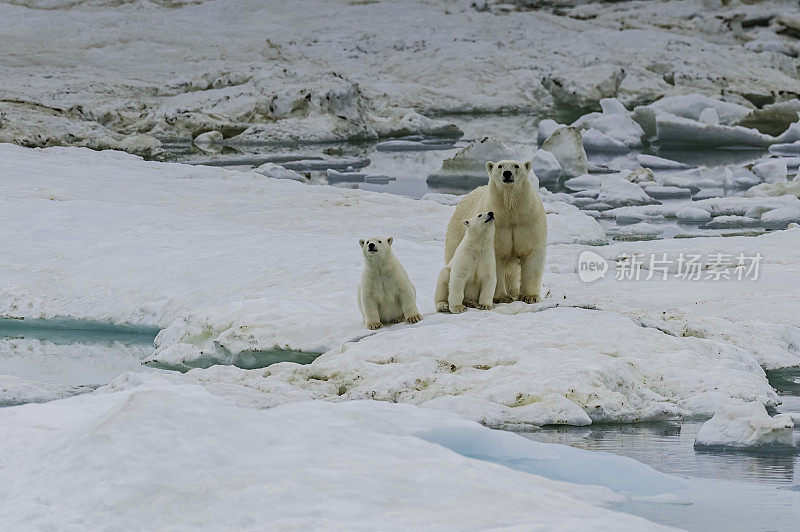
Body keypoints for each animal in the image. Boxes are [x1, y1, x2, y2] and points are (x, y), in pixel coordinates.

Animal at [444, 159, 552, 304]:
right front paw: (501, 297)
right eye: (500, 166)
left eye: (516, 166)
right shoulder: (499, 227)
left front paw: (529, 296)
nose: (507, 173)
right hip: (456, 231)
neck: (510, 212)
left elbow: (531, 253)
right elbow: (497, 257)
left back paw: (514, 290)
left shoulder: (529, 222)